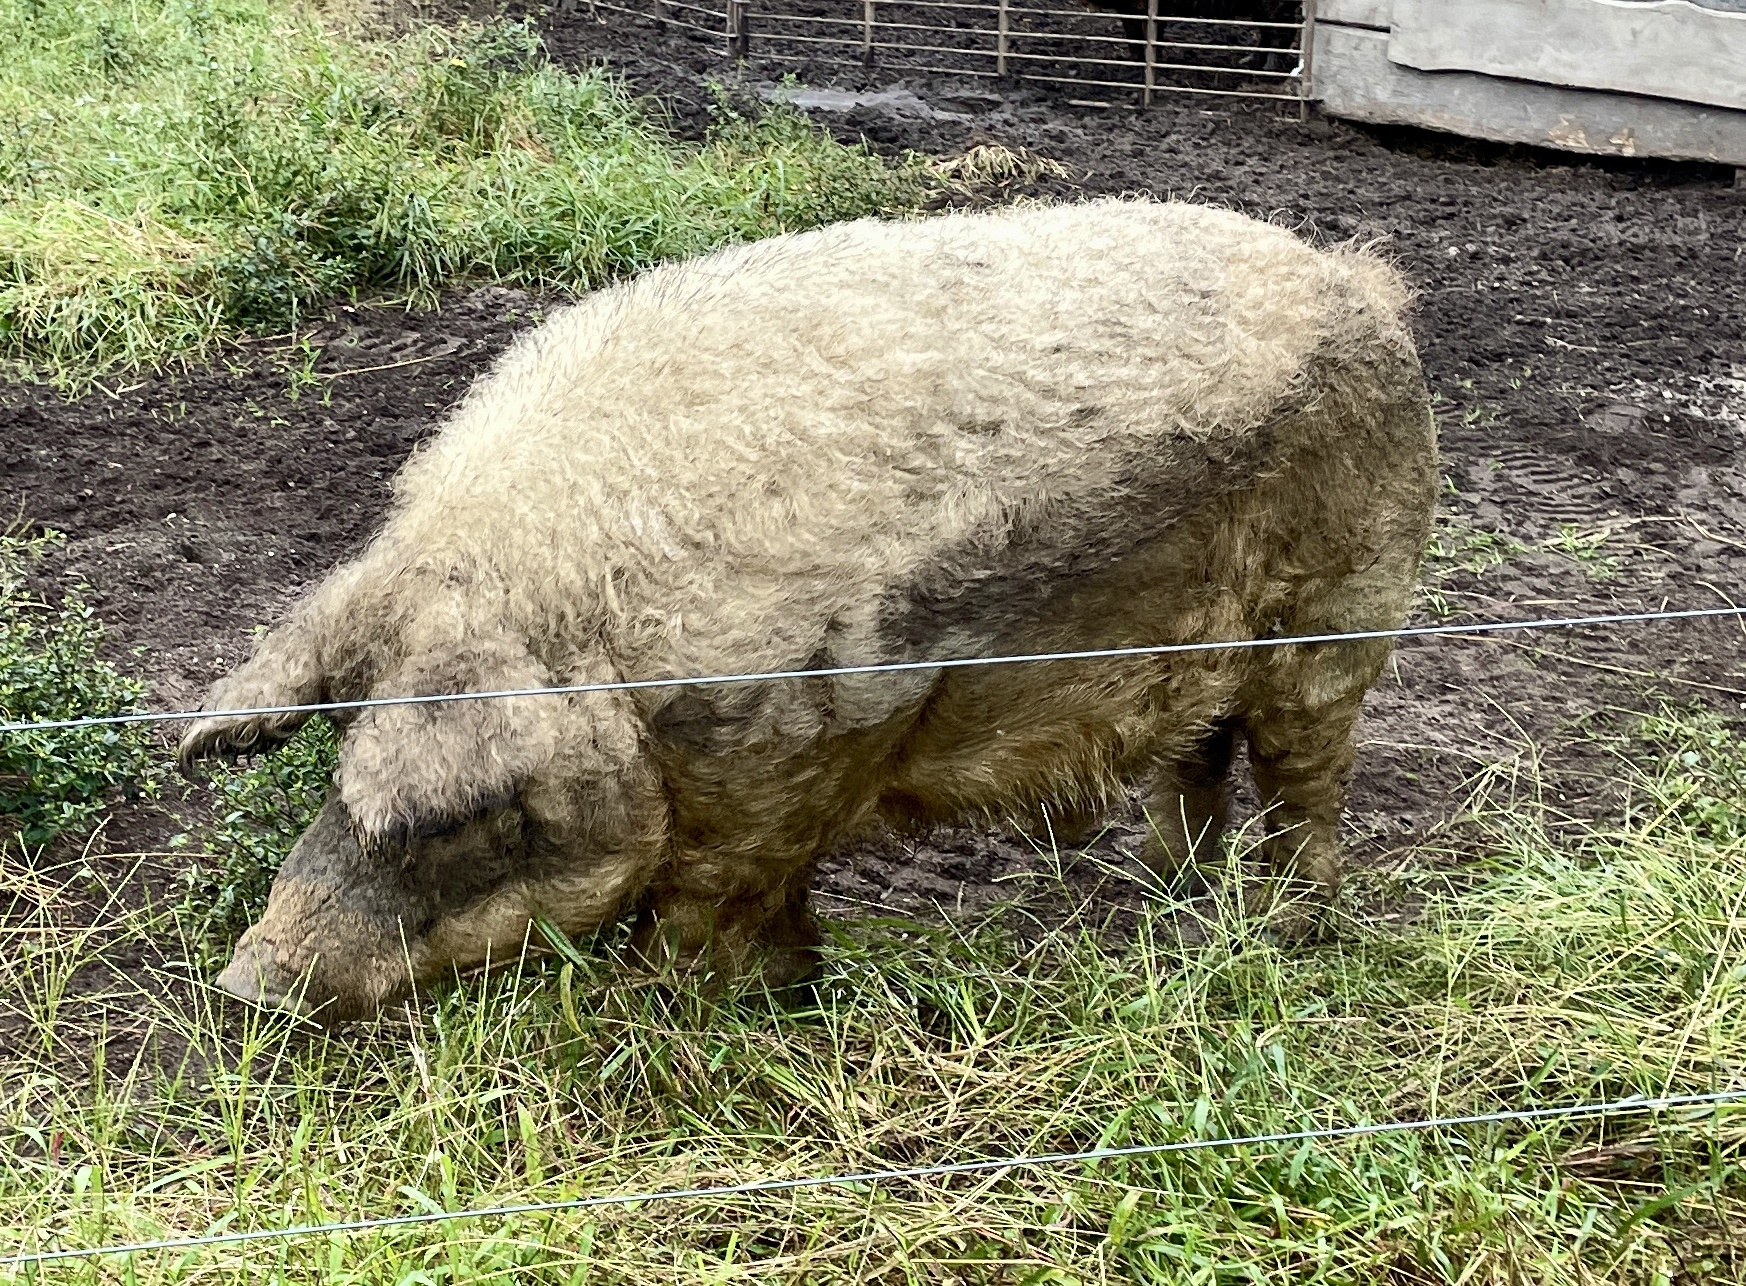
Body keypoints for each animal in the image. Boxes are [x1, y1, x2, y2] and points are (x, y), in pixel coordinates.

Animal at [177, 198, 1438, 1026]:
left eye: (438, 821)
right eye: (336, 756)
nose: (245, 983)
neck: (607, 646)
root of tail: (1363, 282)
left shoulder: (789, 767)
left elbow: (705, 912)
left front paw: (661, 1019)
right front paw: (794, 994)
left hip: (1346, 608)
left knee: (1307, 771)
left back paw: (1291, 928)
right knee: (1198, 752)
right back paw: (1162, 896)